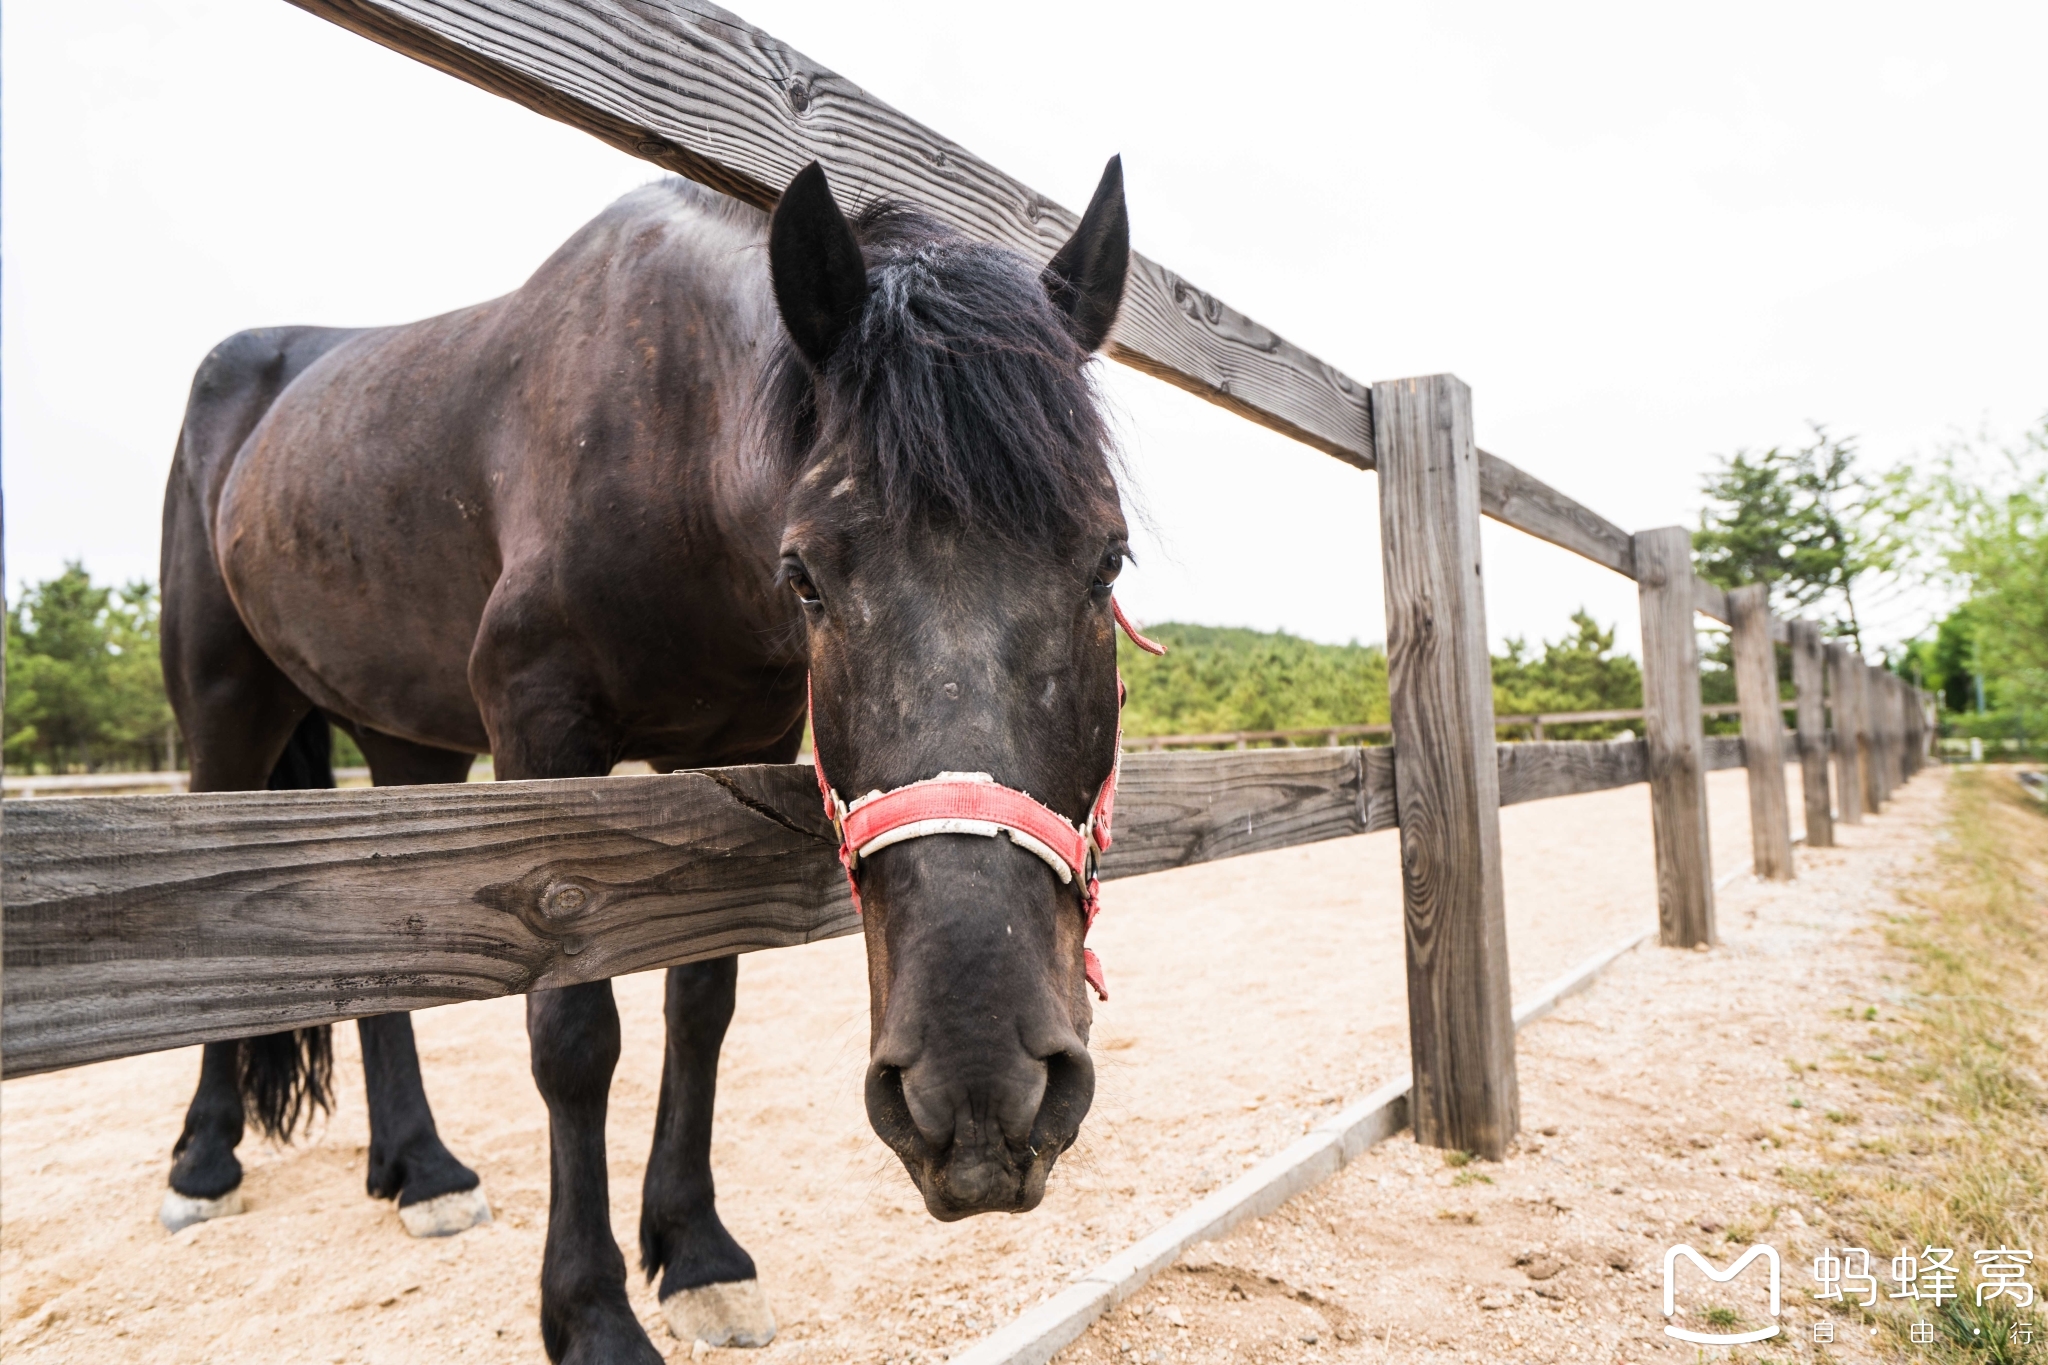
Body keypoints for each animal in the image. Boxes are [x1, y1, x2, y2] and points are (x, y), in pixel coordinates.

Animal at [163, 157, 1138, 1358]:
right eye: (806, 576)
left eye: (1106, 562)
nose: (980, 1095)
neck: (670, 443)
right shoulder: (540, 729)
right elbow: (574, 1033)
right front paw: (591, 1310)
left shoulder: (736, 754)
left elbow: (701, 1007)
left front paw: (697, 1250)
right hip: (226, 708)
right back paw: (207, 1159)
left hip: (402, 743)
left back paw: (422, 1168)